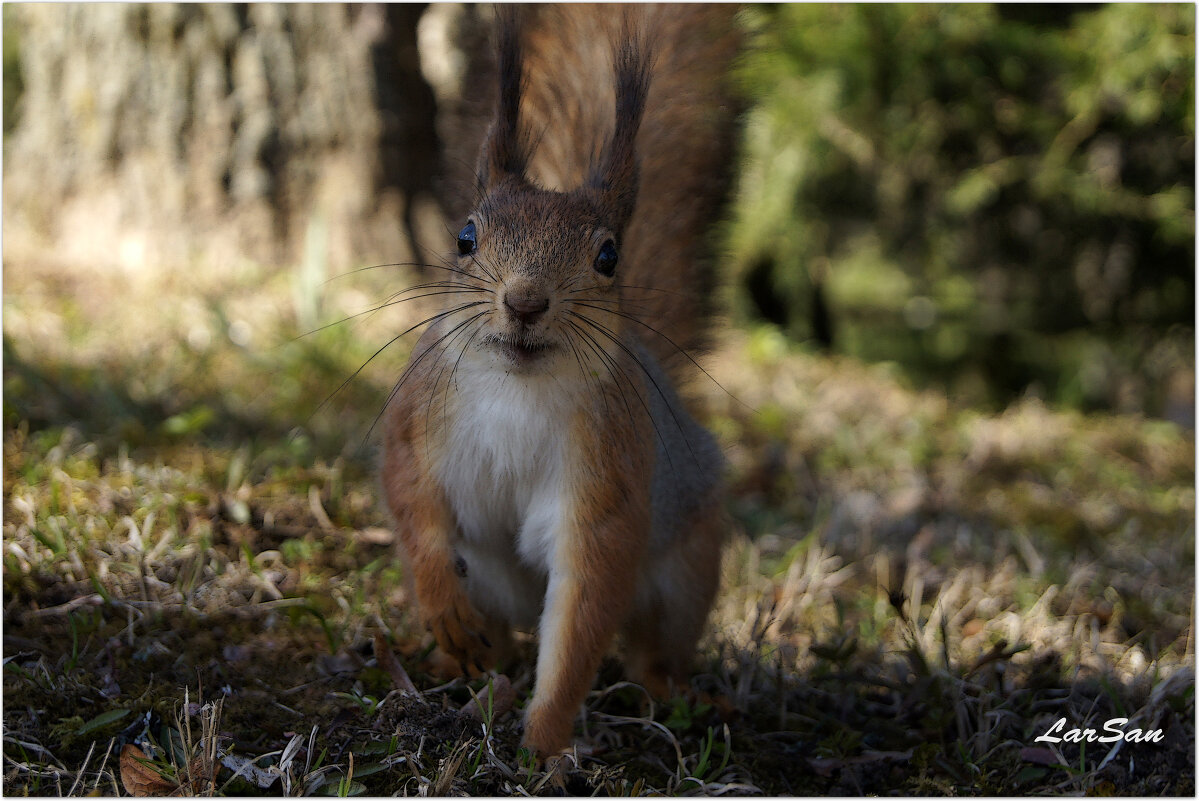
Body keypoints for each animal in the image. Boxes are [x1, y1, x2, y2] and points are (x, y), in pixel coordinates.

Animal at [383, 4, 738, 757]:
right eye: (465, 237)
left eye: (608, 256)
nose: (524, 302)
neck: (518, 386)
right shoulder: (415, 417)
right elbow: (411, 498)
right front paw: (439, 599)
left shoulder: (606, 481)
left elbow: (580, 616)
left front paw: (543, 743)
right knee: (492, 636)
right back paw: (447, 656)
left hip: (689, 568)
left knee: (647, 649)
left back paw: (673, 689)